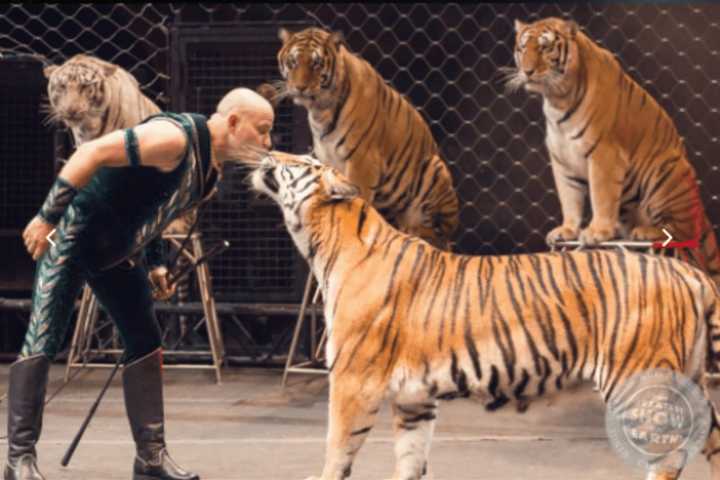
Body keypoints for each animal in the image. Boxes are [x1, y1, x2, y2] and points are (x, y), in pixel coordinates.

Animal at [240, 148, 720, 478]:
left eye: (302, 162)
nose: (271, 150)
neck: (326, 242)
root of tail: (687, 271)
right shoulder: (414, 399)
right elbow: (410, 461)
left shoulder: (353, 380)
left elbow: (336, 450)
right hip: (688, 377)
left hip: (640, 379)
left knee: (669, 454)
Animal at [272, 25, 458, 249]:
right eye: (293, 62)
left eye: (316, 63)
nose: (299, 87)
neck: (320, 110)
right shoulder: (328, 162)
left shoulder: (362, 162)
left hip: (435, 168)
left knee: (437, 235)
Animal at [504, 16, 720, 284]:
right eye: (523, 48)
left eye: (545, 47)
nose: (527, 71)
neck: (557, 98)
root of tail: (703, 215)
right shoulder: (562, 161)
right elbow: (569, 198)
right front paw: (567, 230)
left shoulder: (604, 154)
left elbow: (601, 196)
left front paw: (597, 232)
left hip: (666, 170)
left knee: (680, 231)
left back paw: (645, 231)